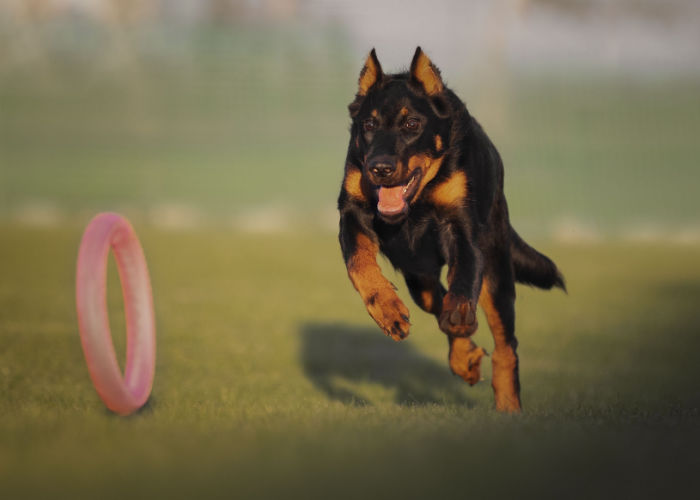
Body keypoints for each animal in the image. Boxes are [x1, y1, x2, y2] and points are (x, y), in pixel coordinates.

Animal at [336, 47, 568, 414]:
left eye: (412, 124)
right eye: (368, 125)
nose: (379, 168)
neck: (417, 201)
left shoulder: (464, 228)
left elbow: (463, 283)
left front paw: (459, 314)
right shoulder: (351, 212)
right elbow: (359, 266)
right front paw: (388, 312)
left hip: (496, 272)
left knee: (505, 344)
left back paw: (508, 406)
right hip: (419, 277)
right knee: (438, 301)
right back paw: (464, 359)